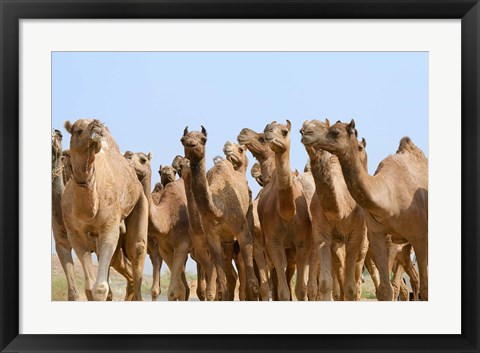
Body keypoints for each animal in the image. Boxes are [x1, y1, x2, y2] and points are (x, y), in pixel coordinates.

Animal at [62, 119, 148, 300]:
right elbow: (89, 287)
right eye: (78, 130)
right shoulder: (74, 233)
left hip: (140, 202)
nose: (97, 127)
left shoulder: (109, 226)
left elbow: (101, 287)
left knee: (137, 249)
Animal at [182, 126, 258, 300]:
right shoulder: (212, 238)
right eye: (182, 140)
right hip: (226, 241)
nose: (191, 145)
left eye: (204, 139)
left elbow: (253, 286)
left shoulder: (242, 231)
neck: (219, 210)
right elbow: (221, 289)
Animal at [256, 121, 314, 300]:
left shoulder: (303, 242)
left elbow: (300, 289)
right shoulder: (273, 242)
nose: (268, 133)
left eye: (285, 131)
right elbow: (282, 290)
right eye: (266, 128)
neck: (288, 214)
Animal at [310, 119, 430, 300]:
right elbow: (385, 289)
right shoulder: (376, 234)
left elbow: (424, 287)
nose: (308, 134)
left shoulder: (418, 236)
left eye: (335, 132)